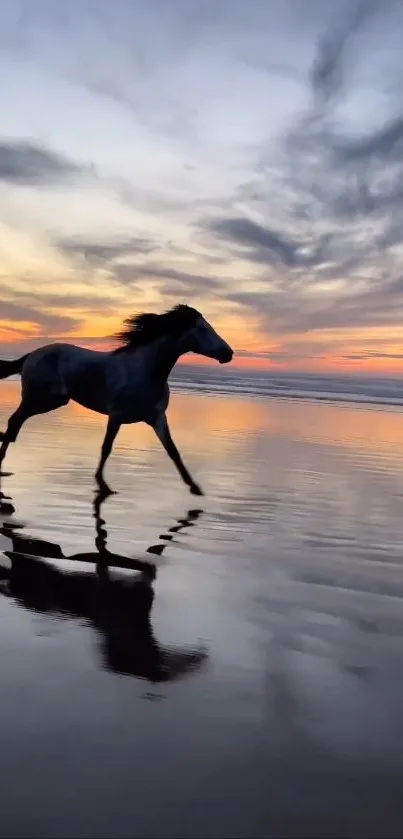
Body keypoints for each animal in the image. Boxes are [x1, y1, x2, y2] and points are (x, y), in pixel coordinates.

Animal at [0, 306, 234, 496]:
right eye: (203, 328)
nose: (229, 353)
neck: (147, 371)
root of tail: (30, 355)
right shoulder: (116, 415)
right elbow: (106, 447)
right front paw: (102, 485)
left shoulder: (157, 417)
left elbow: (173, 451)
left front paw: (194, 487)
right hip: (39, 399)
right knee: (14, 422)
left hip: (52, 401)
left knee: (15, 424)